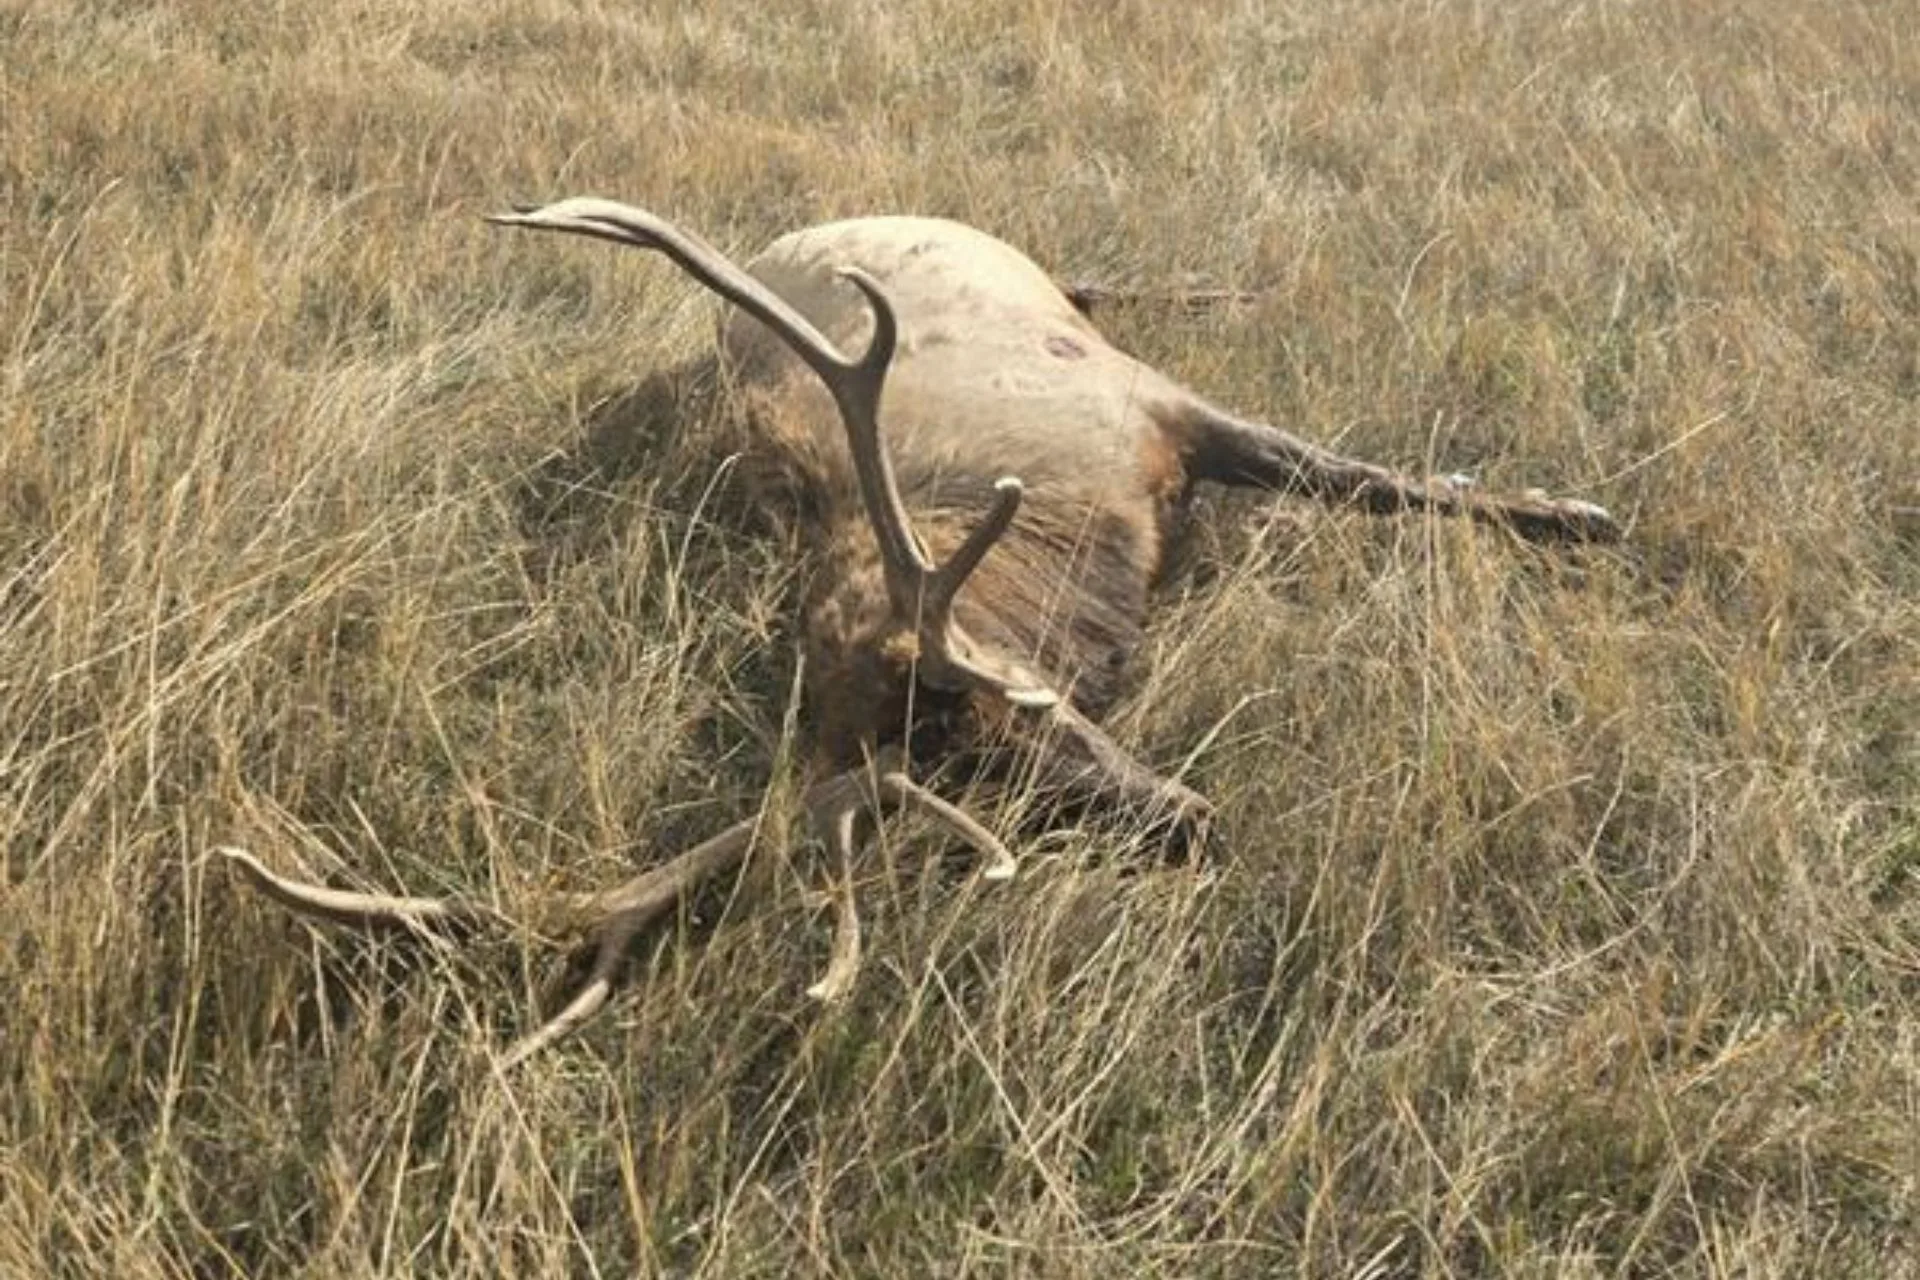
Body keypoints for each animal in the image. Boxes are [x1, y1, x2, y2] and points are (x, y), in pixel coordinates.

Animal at [221, 199, 1618, 1066]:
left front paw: (1578, 512)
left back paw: (1232, 279)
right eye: (970, 785)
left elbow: (1368, 474)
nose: (1191, 822)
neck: (1071, 526)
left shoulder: (1153, 405)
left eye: (991, 712)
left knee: (1100, 274)